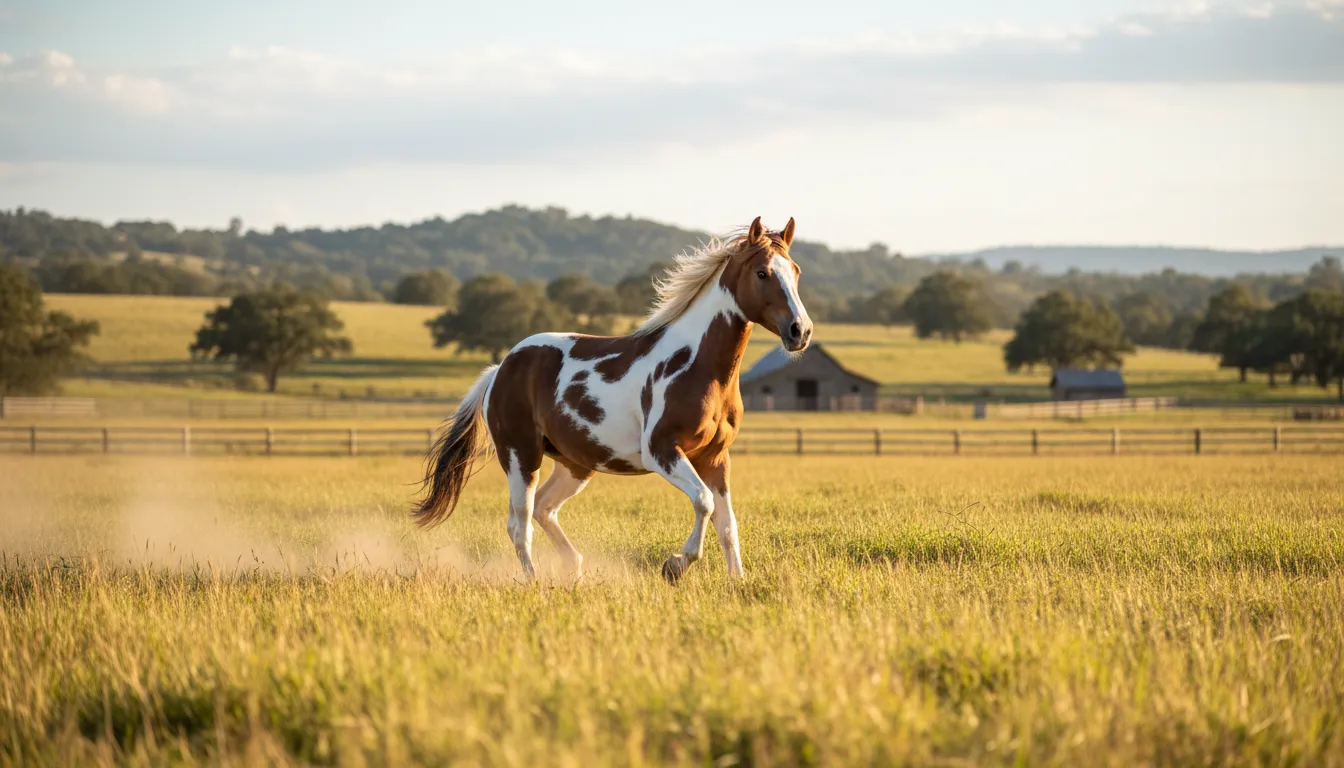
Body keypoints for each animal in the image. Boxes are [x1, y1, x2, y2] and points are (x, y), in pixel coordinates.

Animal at [412, 216, 813, 584]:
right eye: (762, 273)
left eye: (795, 271)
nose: (801, 331)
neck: (696, 364)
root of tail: (500, 369)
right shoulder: (662, 451)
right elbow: (704, 502)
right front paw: (675, 565)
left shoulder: (715, 457)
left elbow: (727, 524)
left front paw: (737, 582)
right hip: (520, 456)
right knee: (519, 523)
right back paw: (535, 581)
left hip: (575, 464)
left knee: (544, 509)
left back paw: (573, 567)